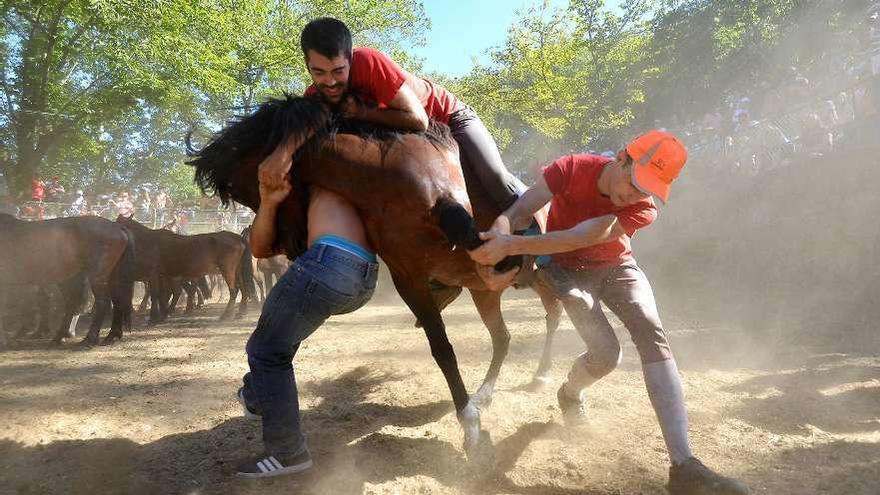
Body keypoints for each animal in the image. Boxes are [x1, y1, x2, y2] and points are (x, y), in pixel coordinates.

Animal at [115, 217, 253, 322]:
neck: (150, 241)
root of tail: (238, 238)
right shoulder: (165, 276)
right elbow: (163, 294)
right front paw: (163, 313)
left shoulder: (154, 274)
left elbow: (158, 294)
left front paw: (156, 316)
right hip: (237, 270)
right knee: (244, 289)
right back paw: (240, 312)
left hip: (227, 270)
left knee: (234, 291)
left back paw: (225, 315)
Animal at [189, 97, 568, 462]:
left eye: (256, 187)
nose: (282, 246)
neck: (386, 178)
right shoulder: (407, 276)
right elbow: (442, 349)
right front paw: (470, 421)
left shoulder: (455, 213)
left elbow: (472, 238)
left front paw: (471, 430)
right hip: (484, 294)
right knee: (503, 337)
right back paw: (486, 394)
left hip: (538, 278)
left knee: (552, 313)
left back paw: (542, 372)